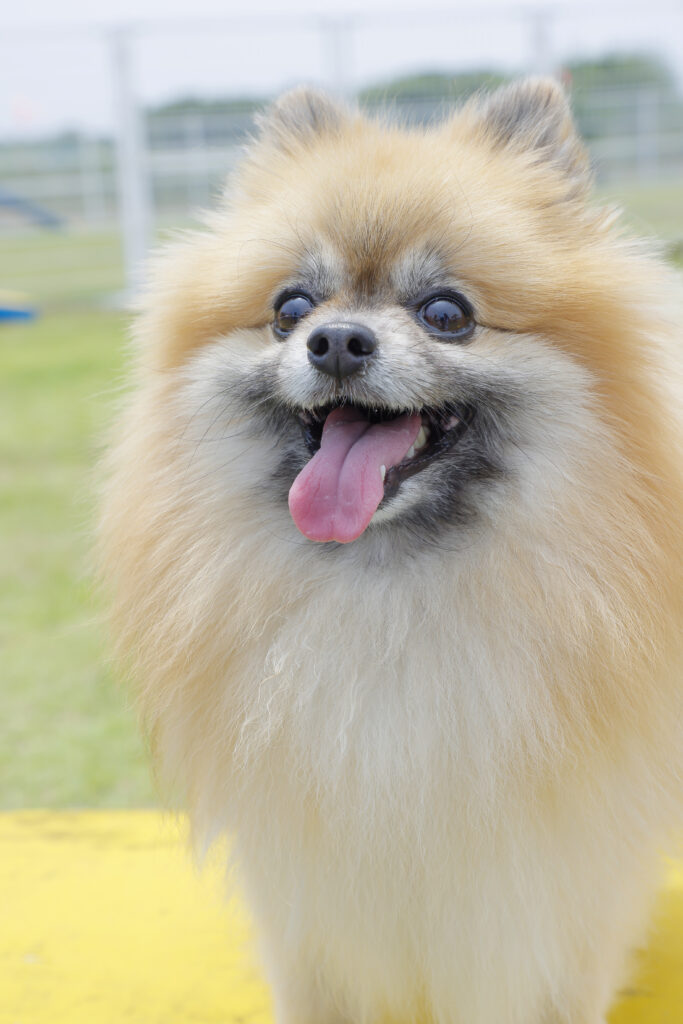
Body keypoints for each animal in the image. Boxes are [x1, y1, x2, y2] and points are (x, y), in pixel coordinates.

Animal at [100, 79, 683, 1023]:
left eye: (446, 314)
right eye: (290, 309)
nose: (336, 340)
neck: (388, 596)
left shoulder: (541, 905)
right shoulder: (315, 905)